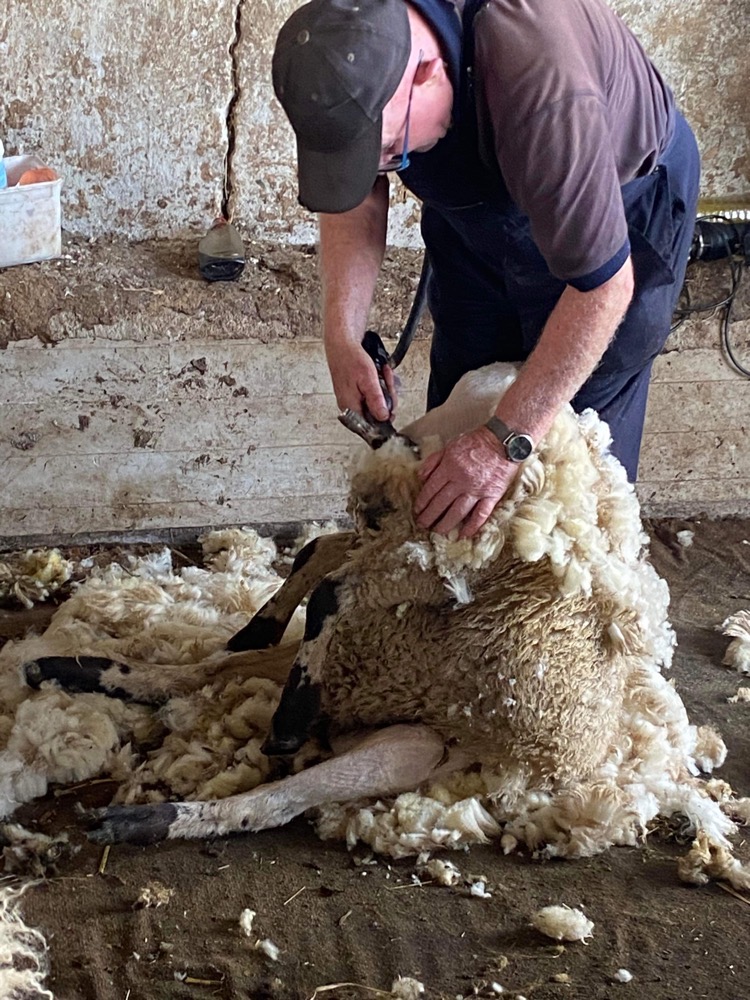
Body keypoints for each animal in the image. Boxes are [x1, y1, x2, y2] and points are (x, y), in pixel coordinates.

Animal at [4, 363, 749, 885]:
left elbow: (330, 575)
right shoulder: (437, 555)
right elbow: (328, 572)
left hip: (399, 694)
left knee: (259, 712)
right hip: (404, 606)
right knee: (253, 658)